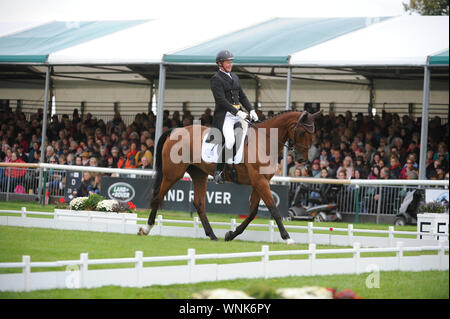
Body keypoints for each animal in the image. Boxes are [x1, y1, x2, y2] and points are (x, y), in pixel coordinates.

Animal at [138, 110, 320, 245]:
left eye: (313, 134)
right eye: (302, 132)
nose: (302, 160)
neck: (264, 142)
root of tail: (175, 130)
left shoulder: (260, 181)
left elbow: (253, 212)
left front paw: (231, 234)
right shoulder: (260, 181)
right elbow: (273, 209)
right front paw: (287, 238)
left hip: (199, 174)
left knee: (199, 203)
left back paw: (212, 235)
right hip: (173, 174)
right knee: (158, 197)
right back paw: (146, 229)